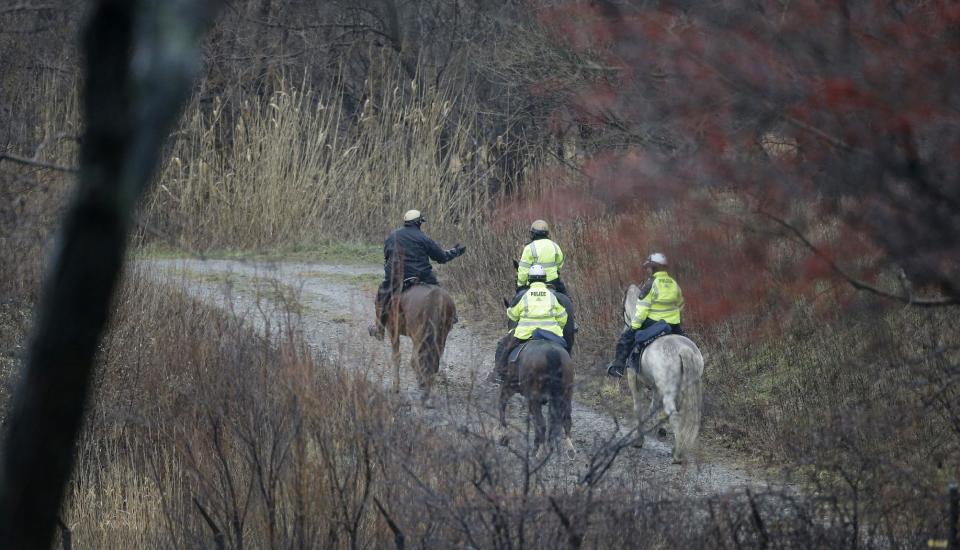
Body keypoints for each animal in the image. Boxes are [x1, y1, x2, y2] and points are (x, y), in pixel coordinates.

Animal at [620, 286, 700, 464]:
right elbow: (652, 408)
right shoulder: (656, 388)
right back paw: (677, 448)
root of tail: (684, 349)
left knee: (675, 416)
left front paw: (638, 440)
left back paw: (677, 455)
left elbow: (638, 407)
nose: (626, 328)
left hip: (668, 392)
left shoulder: (633, 380)